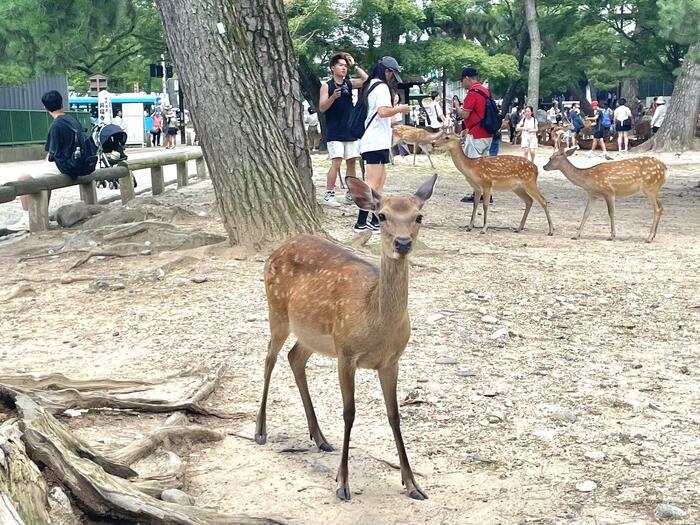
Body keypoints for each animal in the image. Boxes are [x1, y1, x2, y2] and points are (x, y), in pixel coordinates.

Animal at [252, 174, 438, 502]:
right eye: (381, 216)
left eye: (419, 216)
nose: (403, 243)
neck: (374, 319)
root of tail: (281, 245)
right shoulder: (346, 353)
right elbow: (349, 413)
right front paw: (342, 483)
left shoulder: (391, 361)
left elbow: (394, 415)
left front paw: (413, 484)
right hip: (278, 311)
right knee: (269, 358)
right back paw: (260, 430)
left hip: (313, 335)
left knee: (294, 357)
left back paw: (320, 438)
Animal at [540, 143, 668, 242]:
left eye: (551, 157)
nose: (544, 166)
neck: (587, 180)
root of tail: (665, 169)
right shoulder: (592, 195)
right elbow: (586, 213)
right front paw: (576, 235)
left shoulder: (609, 191)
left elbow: (611, 213)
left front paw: (612, 236)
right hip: (655, 189)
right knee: (661, 207)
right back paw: (653, 236)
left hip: (650, 187)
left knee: (656, 209)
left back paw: (648, 238)